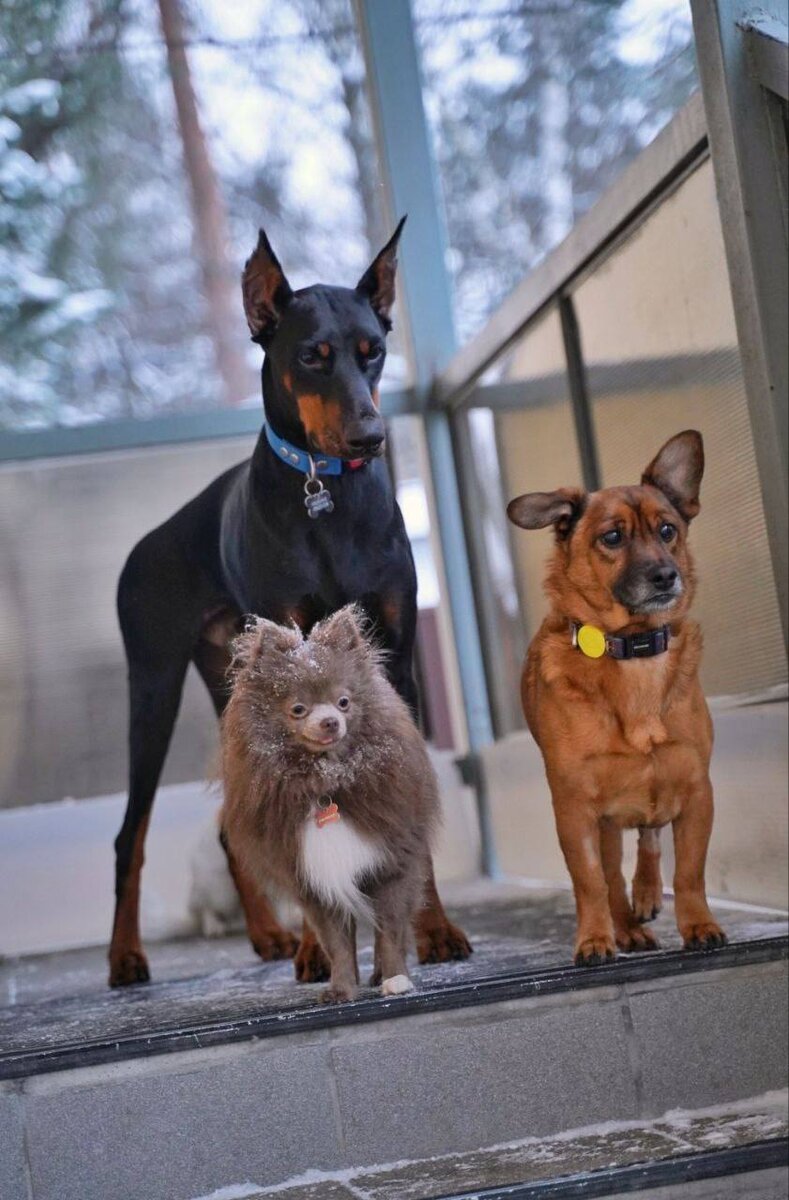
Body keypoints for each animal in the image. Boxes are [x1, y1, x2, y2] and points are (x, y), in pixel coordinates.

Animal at [218, 600, 438, 1003]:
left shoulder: (389, 864)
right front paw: (340, 988)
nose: (330, 722)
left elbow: (390, 930)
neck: (325, 782)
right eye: (298, 709)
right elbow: (336, 942)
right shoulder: (315, 880)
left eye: (344, 702)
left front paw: (395, 979)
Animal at [503, 432, 724, 964]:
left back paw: (646, 896)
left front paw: (699, 925)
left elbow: (689, 872)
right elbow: (592, 882)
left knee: (649, 839)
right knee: (612, 871)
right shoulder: (576, 811)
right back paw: (626, 926)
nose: (665, 575)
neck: (634, 651)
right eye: (612, 538)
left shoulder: (695, 792)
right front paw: (596, 937)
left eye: (667, 530)